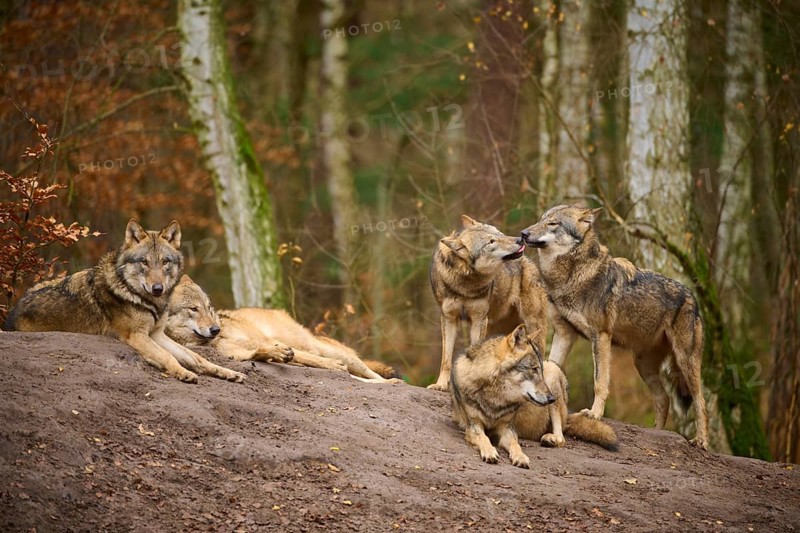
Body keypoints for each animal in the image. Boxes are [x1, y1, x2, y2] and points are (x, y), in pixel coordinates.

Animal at [4, 219, 245, 384]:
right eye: (144, 262)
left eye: (165, 262)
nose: (158, 288)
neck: (142, 298)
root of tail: (10, 317)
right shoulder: (138, 336)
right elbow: (168, 357)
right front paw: (183, 373)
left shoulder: (157, 334)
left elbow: (196, 358)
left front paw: (229, 372)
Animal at [164, 276, 401, 382]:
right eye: (193, 309)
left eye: (208, 308)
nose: (215, 329)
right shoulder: (237, 354)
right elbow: (259, 353)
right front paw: (276, 354)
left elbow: (311, 358)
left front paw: (330, 365)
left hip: (340, 354)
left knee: (373, 375)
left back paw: (391, 380)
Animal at [428, 215, 547, 391]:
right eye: (491, 241)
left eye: (499, 233)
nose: (520, 239)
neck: (466, 283)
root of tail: (529, 263)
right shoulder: (448, 319)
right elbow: (446, 358)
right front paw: (441, 385)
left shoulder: (478, 319)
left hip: (534, 326)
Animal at [450, 324, 619, 468]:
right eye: (534, 369)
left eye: (540, 370)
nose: (551, 398)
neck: (496, 397)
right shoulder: (473, 425)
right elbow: (483, 438)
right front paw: (490, 451)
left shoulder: (507, 428)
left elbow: (515, 444)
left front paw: (521, 457)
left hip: (552, 376)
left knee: (561, 437)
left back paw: (550, 439)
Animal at [520, 204, 709, 449]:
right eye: (541, 220)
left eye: (553, 223)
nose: (523, 233)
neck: (573, 275)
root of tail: (692, 297)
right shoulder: (564, 333)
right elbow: (553, 365)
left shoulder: (600, 337)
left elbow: (599, 382)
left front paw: (595, 414)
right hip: (643, 365)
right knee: (663, 398)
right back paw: (657, 431)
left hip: (685, 361)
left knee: (700, 400)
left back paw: (701, 441)